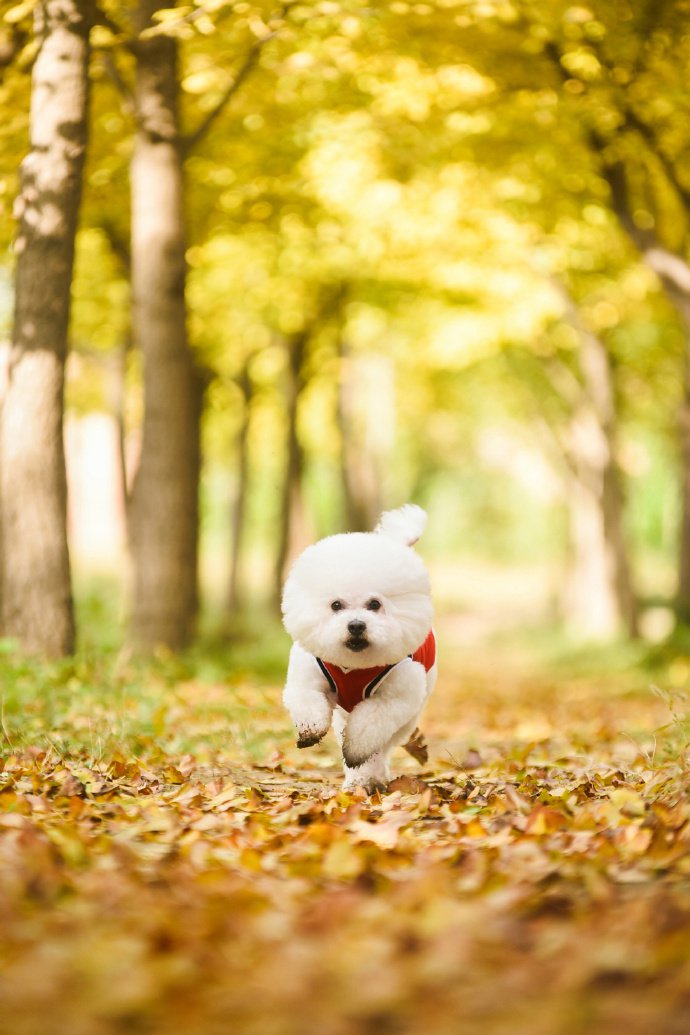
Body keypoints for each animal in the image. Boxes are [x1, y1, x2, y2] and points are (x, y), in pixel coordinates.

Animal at [281, 507, 436, 790]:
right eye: (336, 605)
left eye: (374, 604)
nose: (355, 625)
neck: (353, 666)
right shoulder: (307, 678)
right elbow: (307, 700)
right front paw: (310, 730)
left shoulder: (394, 698)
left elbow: (368, 728)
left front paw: (356, 752)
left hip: (410, 715)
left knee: (385, 744)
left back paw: (370, 777)